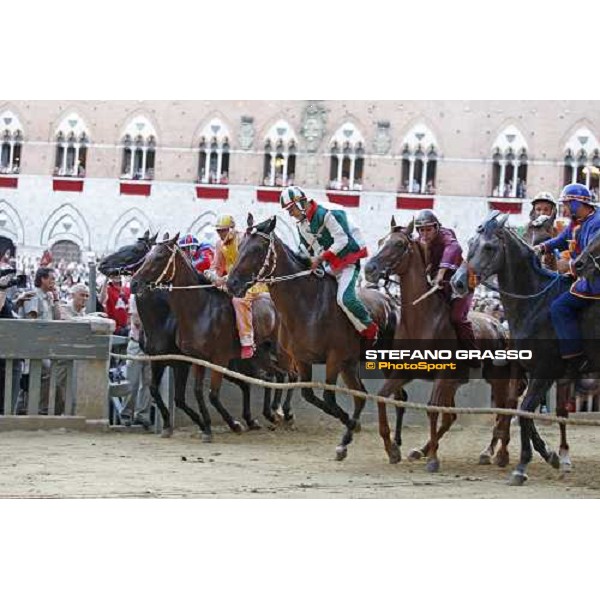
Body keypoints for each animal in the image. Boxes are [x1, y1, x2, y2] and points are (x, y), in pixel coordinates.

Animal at [98, 232, 292, 438]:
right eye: (147, 255)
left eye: (136, 250)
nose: (102, 264)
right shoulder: (162, 359)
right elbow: (159, 391)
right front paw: (176, 425)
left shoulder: (190, 361)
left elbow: (192, 397)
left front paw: (218, 423)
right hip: (253, 356)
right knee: (267, 377)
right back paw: (265, 415)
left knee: (287, 375)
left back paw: (280, 412)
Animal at [224, 214, 398, 460]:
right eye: (239, 247)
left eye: (257, 248)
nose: (232, 283)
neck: (308, 304)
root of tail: (390, 302)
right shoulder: (303, 359)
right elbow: (309, 395)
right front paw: (350, 427)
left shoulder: (334, 358)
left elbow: (328, 398)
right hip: (350, 364)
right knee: (362, 395)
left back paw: (395, 446)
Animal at [360, 218, 524, 472]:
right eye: (380, 241)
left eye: (398, 244)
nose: (369, 269)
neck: (421, 320)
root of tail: (500, 326)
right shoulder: (404, 372)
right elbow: (382, 396)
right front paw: (392, 449)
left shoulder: (441, 375)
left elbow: (432, 408)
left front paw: (434, 459)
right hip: (455, 383)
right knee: (451, 417)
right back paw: (422, 450)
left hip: (496, 379)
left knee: (503, 409)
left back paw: (492, 453)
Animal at [452, 213, 600, 486]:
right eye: (470, 243)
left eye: (489, 247)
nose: (457, 283)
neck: (536, 303)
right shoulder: (529, 372)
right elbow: (521, 411)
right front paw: (549, 454)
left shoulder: (546, 371)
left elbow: (524, 412)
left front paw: (522, 466)